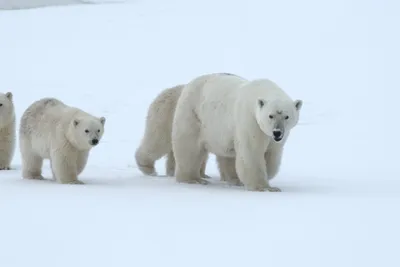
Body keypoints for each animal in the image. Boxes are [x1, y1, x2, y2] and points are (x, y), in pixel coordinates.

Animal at [170, 72, 302, 192]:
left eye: (286, 116)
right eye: (271, 116)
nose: (277, 132)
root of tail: (189, 84)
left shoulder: (274, 138)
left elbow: (272, 153)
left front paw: (267, 175)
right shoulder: (250, 120)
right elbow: (252, 152)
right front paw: (264, 187)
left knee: (228, 155)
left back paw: (234, 179)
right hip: (193, 114)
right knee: (189, 148)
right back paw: (193, 179)